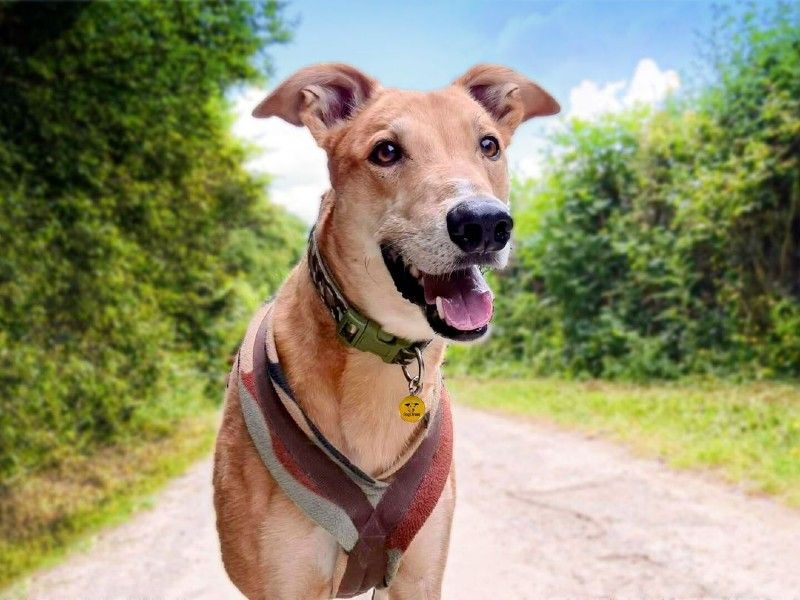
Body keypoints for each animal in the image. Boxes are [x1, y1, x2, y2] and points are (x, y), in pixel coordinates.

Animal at [216, 63, 560, 596]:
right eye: (386, 151)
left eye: (488, 145)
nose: (484, 224)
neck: (380, 360)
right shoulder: (286, 585)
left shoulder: (419, 576)